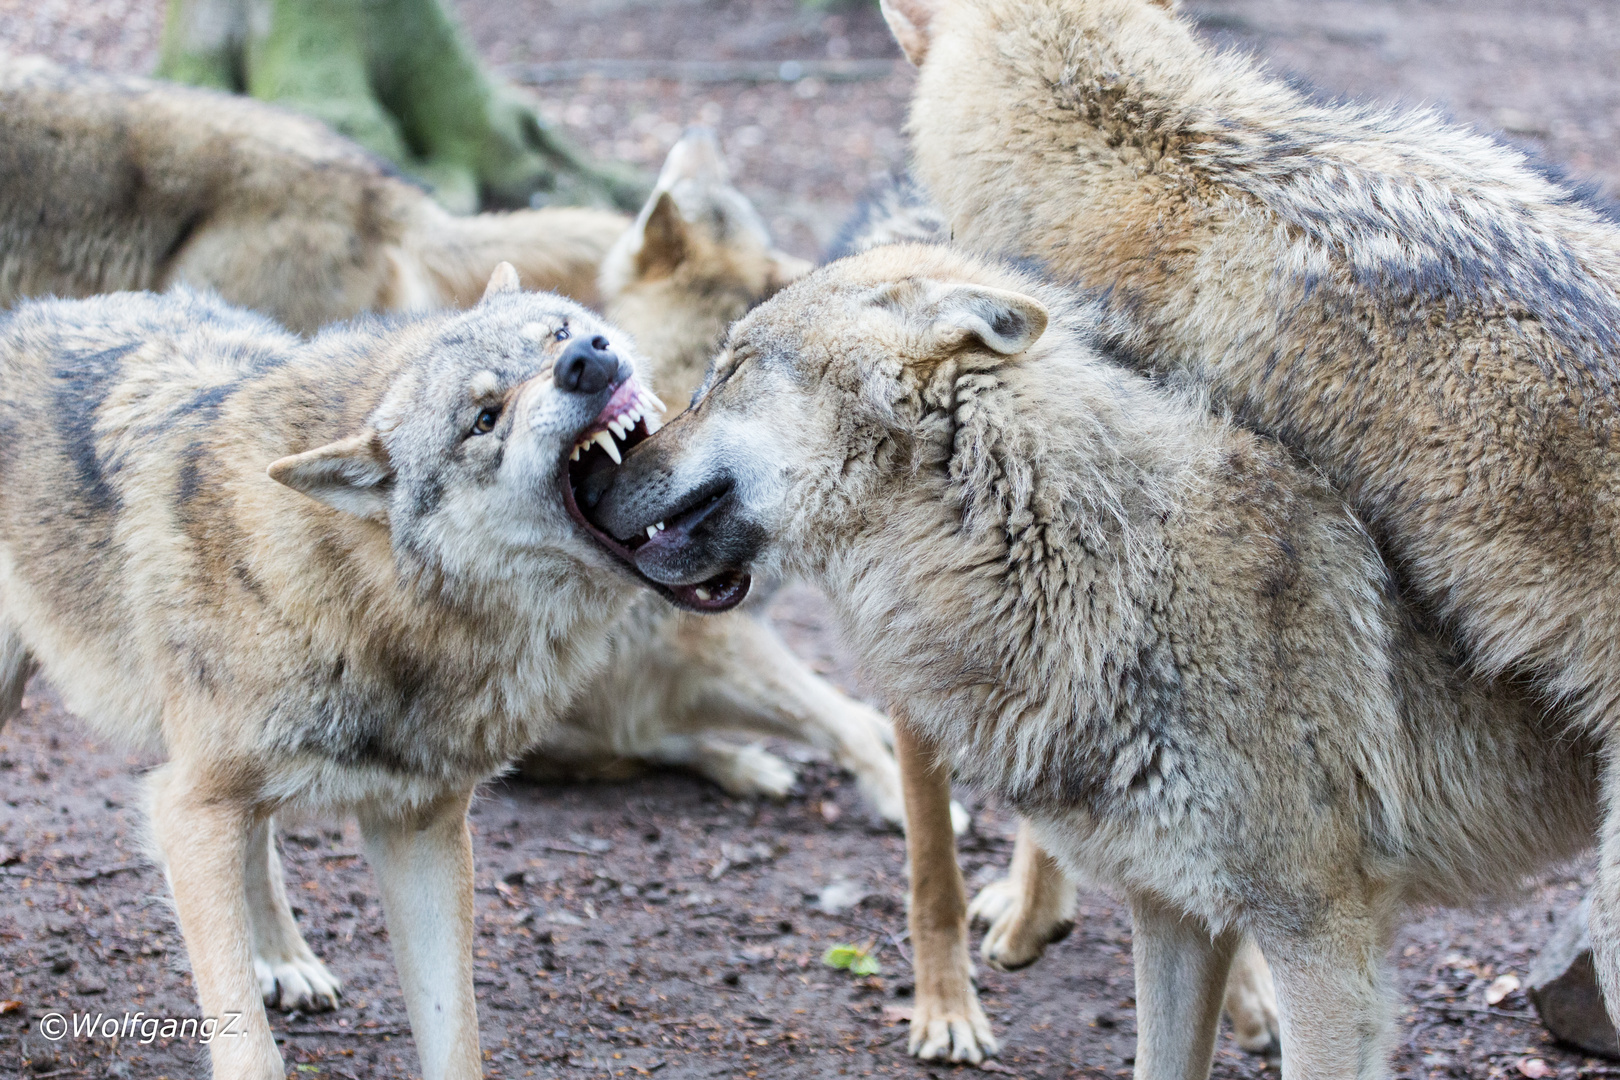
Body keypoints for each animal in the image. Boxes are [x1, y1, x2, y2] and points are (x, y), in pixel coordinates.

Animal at [0, 263, 745, 1080]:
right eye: (483, 419)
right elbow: (249, 1049)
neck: (379, 601)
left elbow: (456, 1044)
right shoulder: (187, 807)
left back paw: (284, 958)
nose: (586, 357)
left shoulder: (419, 827)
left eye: (558, 332)